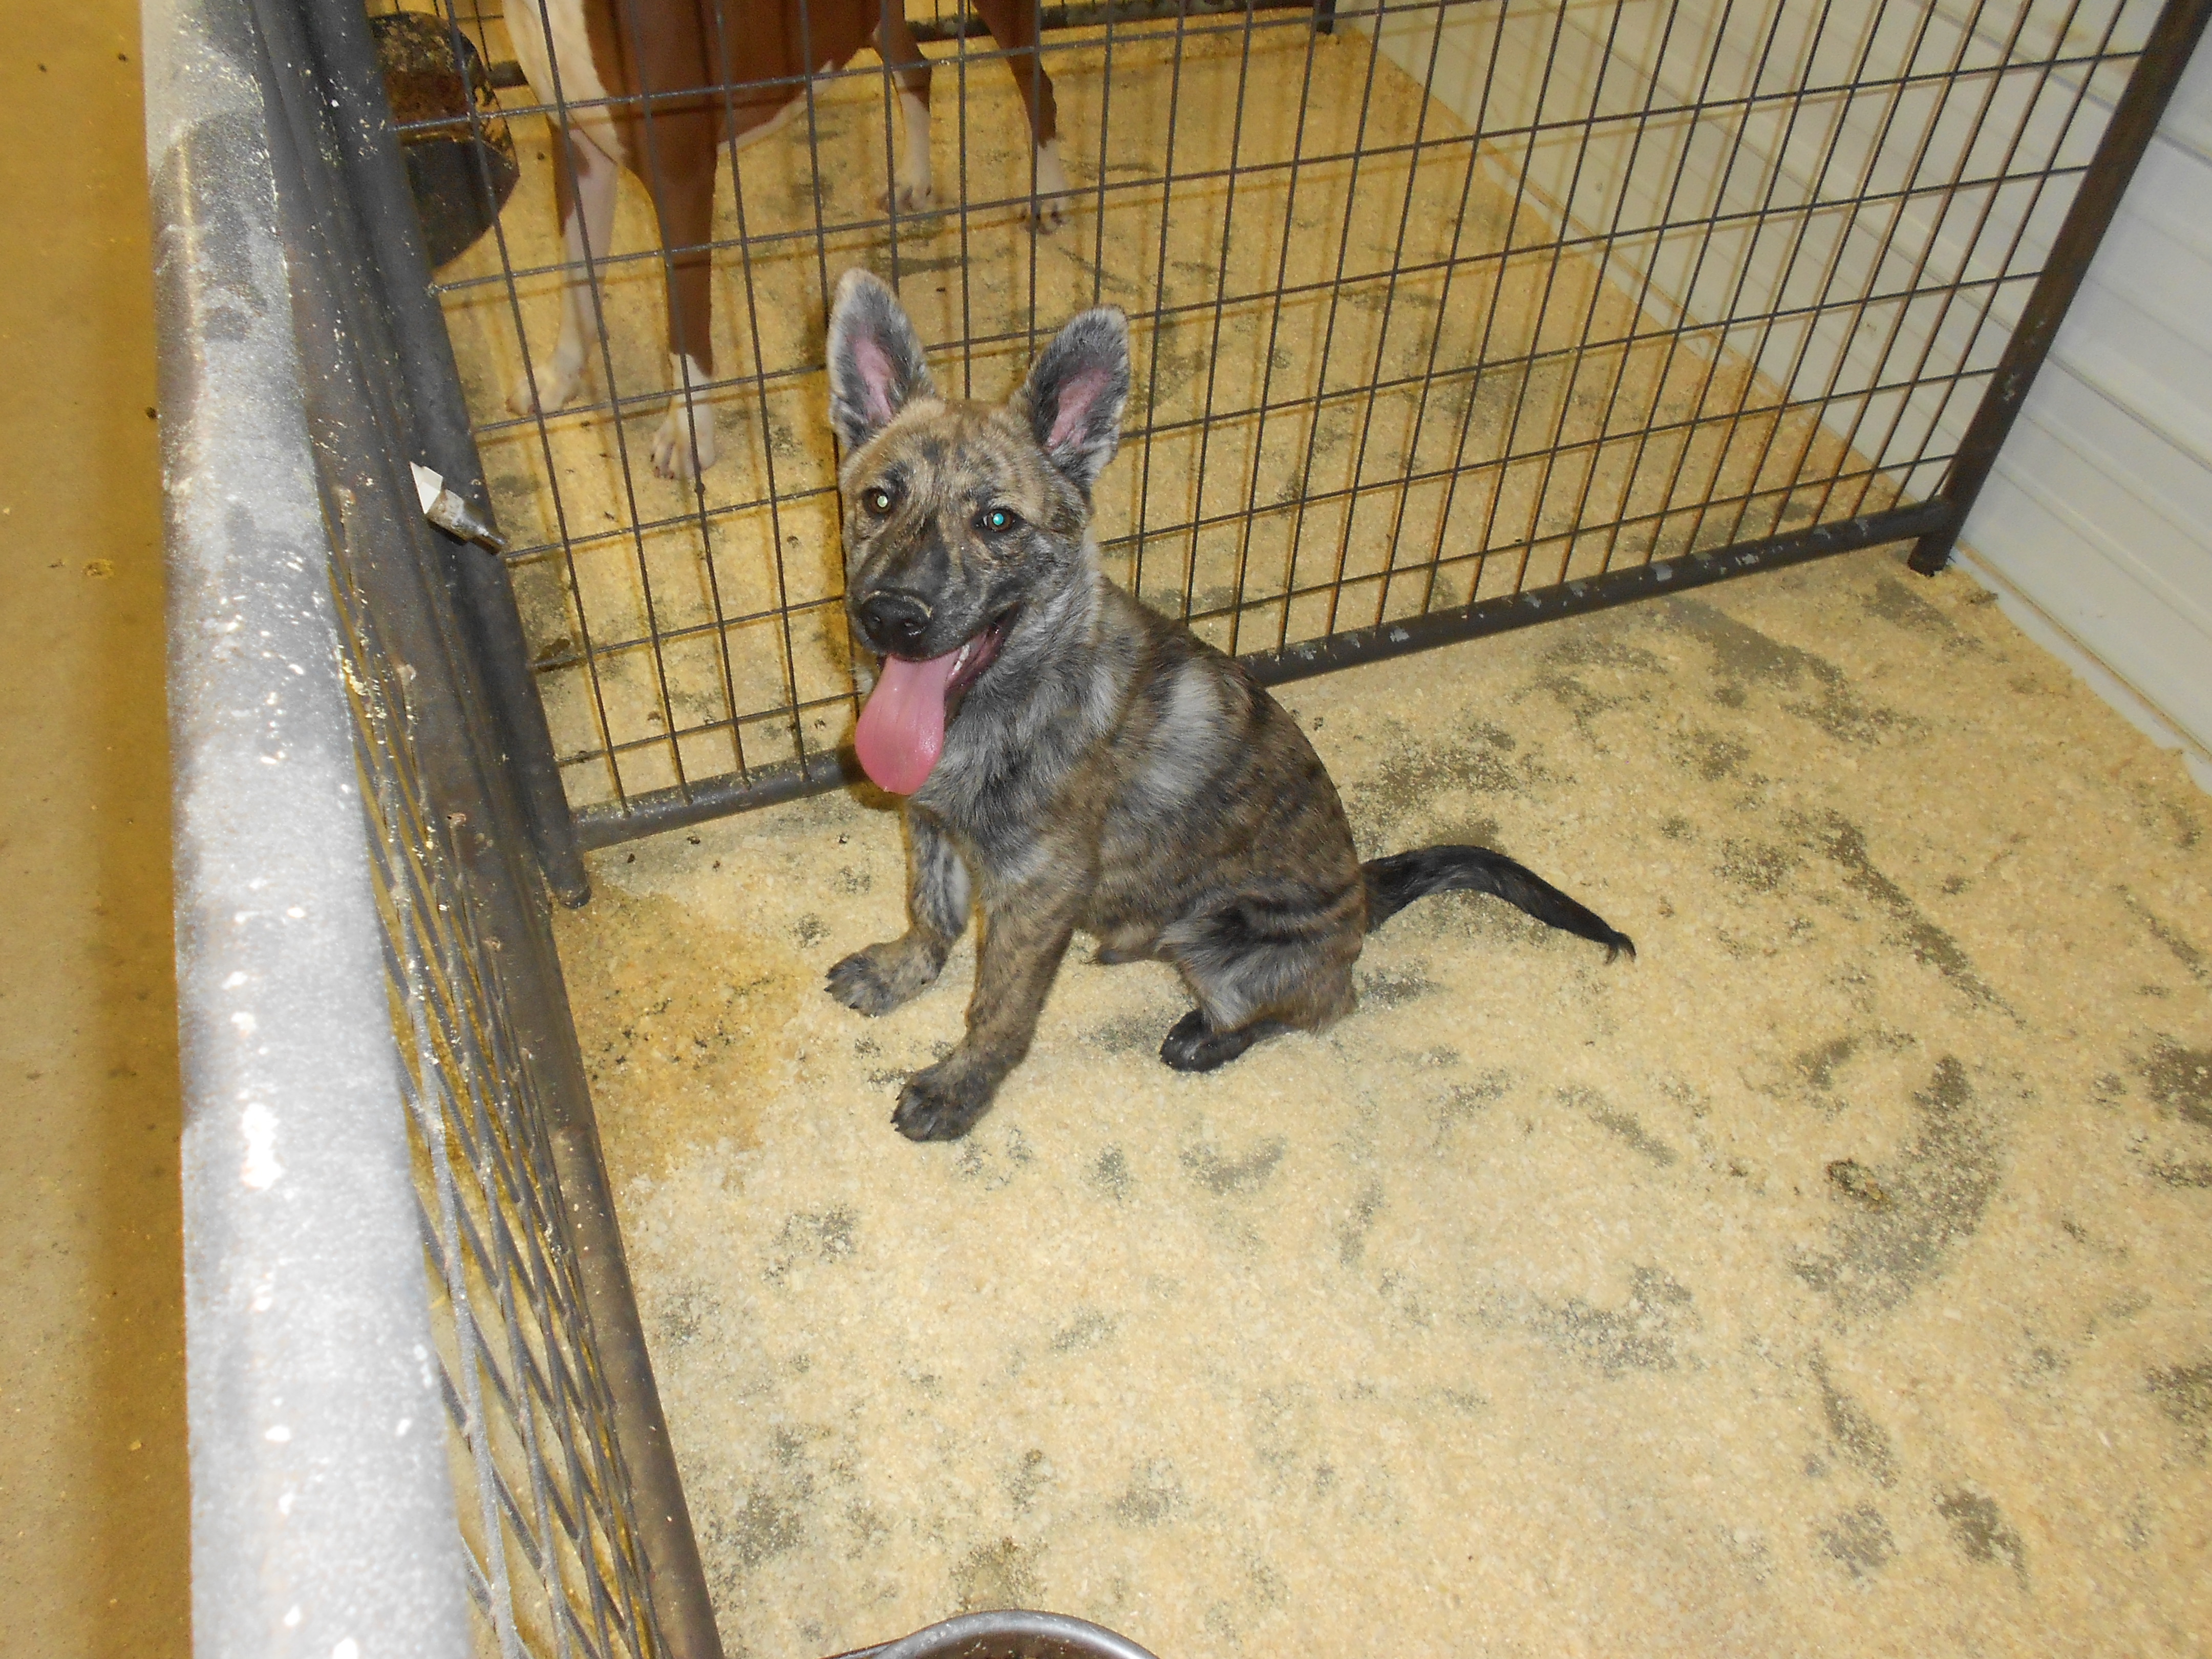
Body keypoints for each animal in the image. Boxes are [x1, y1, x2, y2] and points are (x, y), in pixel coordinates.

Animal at [502, 0, 1071, 479]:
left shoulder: (680, 176)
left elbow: (686, 324)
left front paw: (688, 432)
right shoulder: (576, 149)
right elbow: (575, 282)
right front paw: (558, 377)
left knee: (1037, 81)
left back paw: (1047, 191)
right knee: (916, 69)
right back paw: (915, 176)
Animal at [819, 269, 1635, 1142]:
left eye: (998, 520)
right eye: (878, 501)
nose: (891, 617)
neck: (1004, 701)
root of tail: (1361, 900)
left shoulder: (1035, 894)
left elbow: (998, 1010)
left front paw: (959, 1089)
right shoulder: (929, 823)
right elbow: (930, 913)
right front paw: (901, 972)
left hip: (1224, 947)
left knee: (1325, 1004)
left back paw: (1205, 1037)